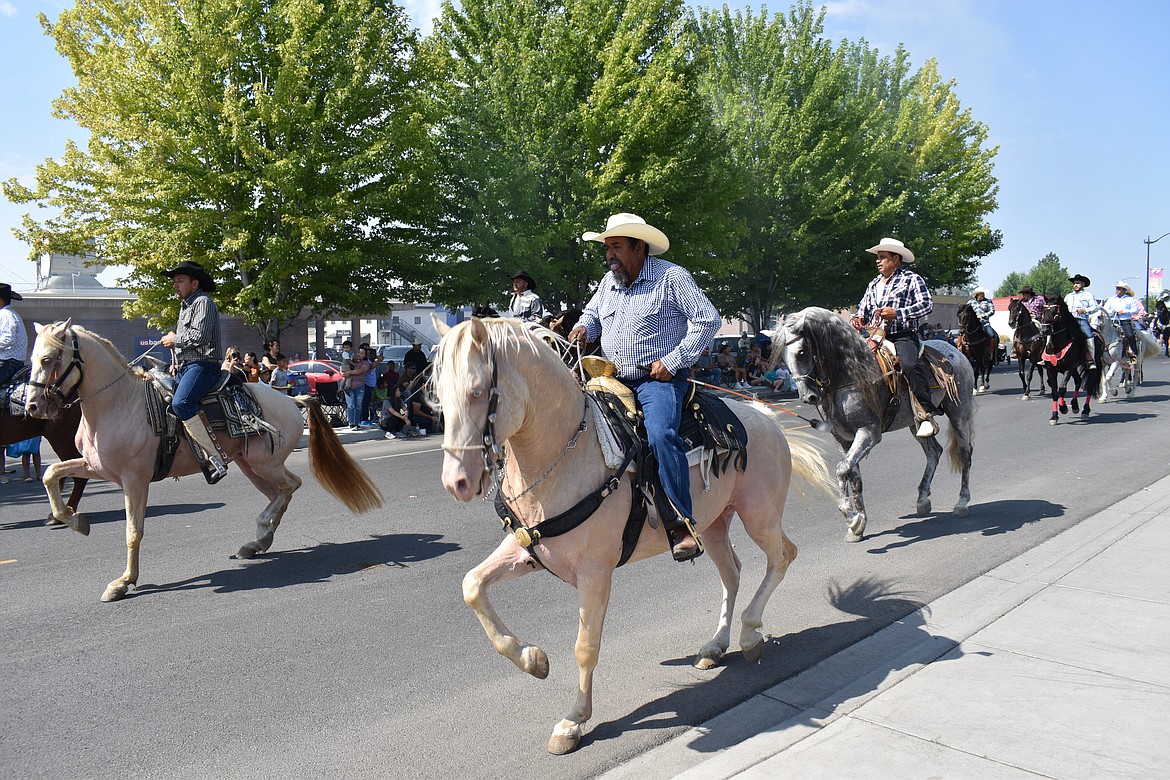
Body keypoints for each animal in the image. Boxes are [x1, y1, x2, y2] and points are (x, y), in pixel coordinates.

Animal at [22, 320, 381, 603]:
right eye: (32, 359)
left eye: (49, 358)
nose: (33, 406)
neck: (118, 403)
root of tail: (291, 399)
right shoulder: (95, 466)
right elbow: (51, 473)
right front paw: (75, 521)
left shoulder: (134, 479)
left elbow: (133, 531)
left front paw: (123, 582)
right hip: (250, 466)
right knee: (280, 493)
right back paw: (258, 542)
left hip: (265, 464)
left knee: (291, 485)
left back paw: (260, 531)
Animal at [430, 318, 833, 757]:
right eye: (439, 398)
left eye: (476, 391)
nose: (456, 482)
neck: (568, 457)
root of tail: (765, 417)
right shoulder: (528, 547)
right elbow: (472, 585)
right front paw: (534, 660)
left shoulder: (594, 573)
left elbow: (585, 646)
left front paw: (574, 721)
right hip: (712, 524)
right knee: (733, 573)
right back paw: (715, 645)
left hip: (759, 515)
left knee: (782, 557)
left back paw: (749, 634)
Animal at [776, 306, 978, 542]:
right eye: (782, 358)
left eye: (801, 352)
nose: (807, 396)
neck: (850, 374)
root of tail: (955, 350)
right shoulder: (843, 439)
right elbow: (853, 475)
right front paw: (858, 525)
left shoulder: (869, 432)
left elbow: (842, 469)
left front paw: (851, 515)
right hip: (915, 422)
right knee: (933, 451)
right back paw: (922, 499)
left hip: (959, 413)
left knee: (964, 453)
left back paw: (961, 503)